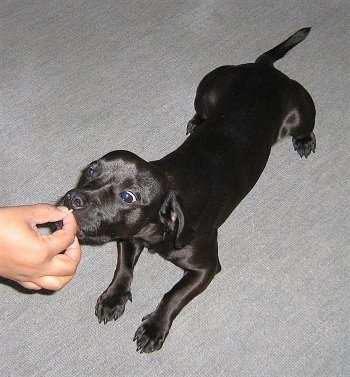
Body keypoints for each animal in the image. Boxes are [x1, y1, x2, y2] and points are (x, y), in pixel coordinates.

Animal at [62, 27, 314, 352]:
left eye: (128, 197)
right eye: (92, 170)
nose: (73, 198)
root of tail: (263, 69)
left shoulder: (205, 268)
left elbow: (174, 294)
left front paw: (154, 327)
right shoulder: (129, 236)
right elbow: (123, 268)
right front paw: (114, 298)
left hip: (301, 113)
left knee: (305, 126)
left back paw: (305, 140)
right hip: (206, 90)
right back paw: (197, 121)